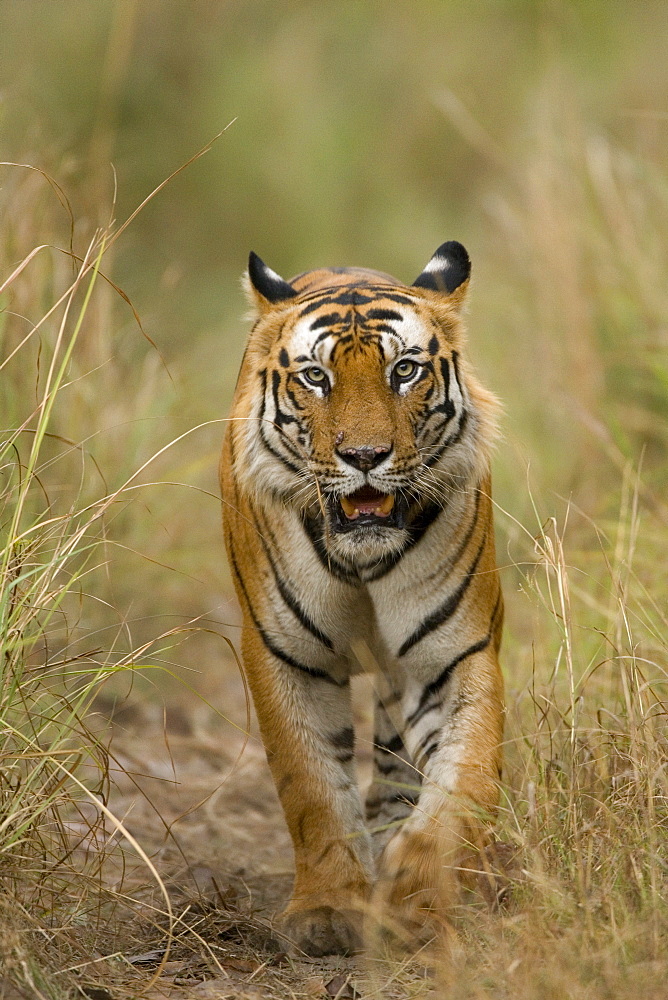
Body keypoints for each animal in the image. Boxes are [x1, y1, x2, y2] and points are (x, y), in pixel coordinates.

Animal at [218, 238, 500, 956]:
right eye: (317, 378)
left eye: (404, 370)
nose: (366, 456)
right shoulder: (287, 656)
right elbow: (313, 787)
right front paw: (324, 912)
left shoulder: (451, 657)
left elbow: (461, 783)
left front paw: (418, 895)